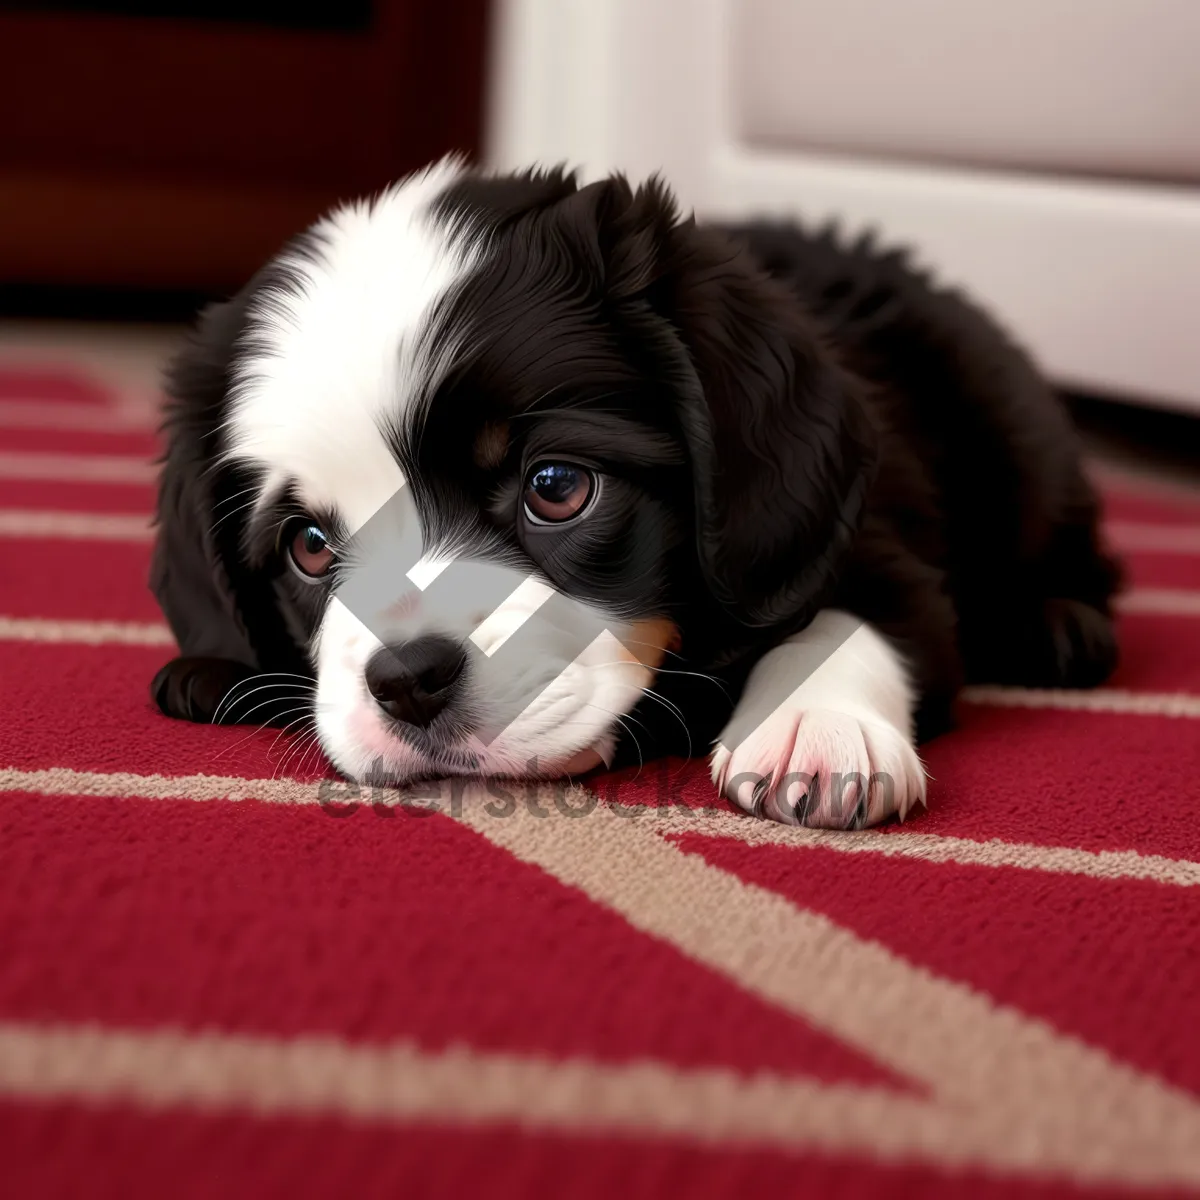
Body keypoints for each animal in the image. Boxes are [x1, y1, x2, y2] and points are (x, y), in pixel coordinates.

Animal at [150, 159, 1123, 830]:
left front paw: (816, 726)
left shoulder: (868, 527)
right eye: (308, 546)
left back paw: (1054, 625)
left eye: (556, 488)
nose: (409, 680)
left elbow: (863, 615)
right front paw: (214, 668)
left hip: (1017, 435)